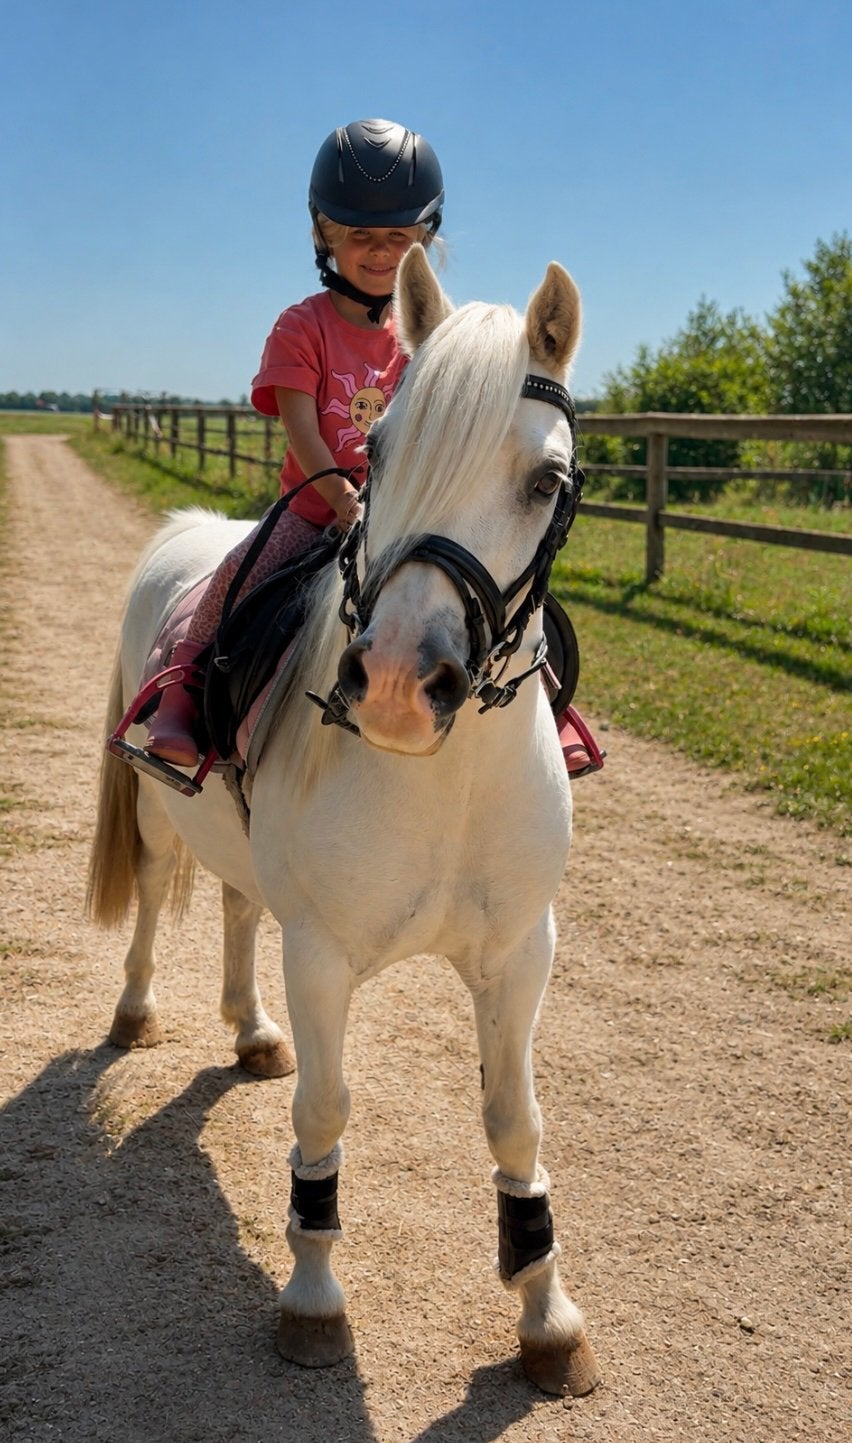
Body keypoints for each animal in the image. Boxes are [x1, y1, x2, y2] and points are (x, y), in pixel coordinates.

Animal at [86, 244, 601, 1398]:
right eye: (380, 447)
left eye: (545, 481)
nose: (401, 685)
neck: (441, 782)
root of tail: (186, 535)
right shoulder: (321, 955)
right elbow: (324, 1111)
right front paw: (314, 1298)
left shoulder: (520, 955)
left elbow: (518, 1123)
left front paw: (546, 1315)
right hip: (156, 815)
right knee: (153, 898)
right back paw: (136, 1013)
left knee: (238, 907)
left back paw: (251, 1032)